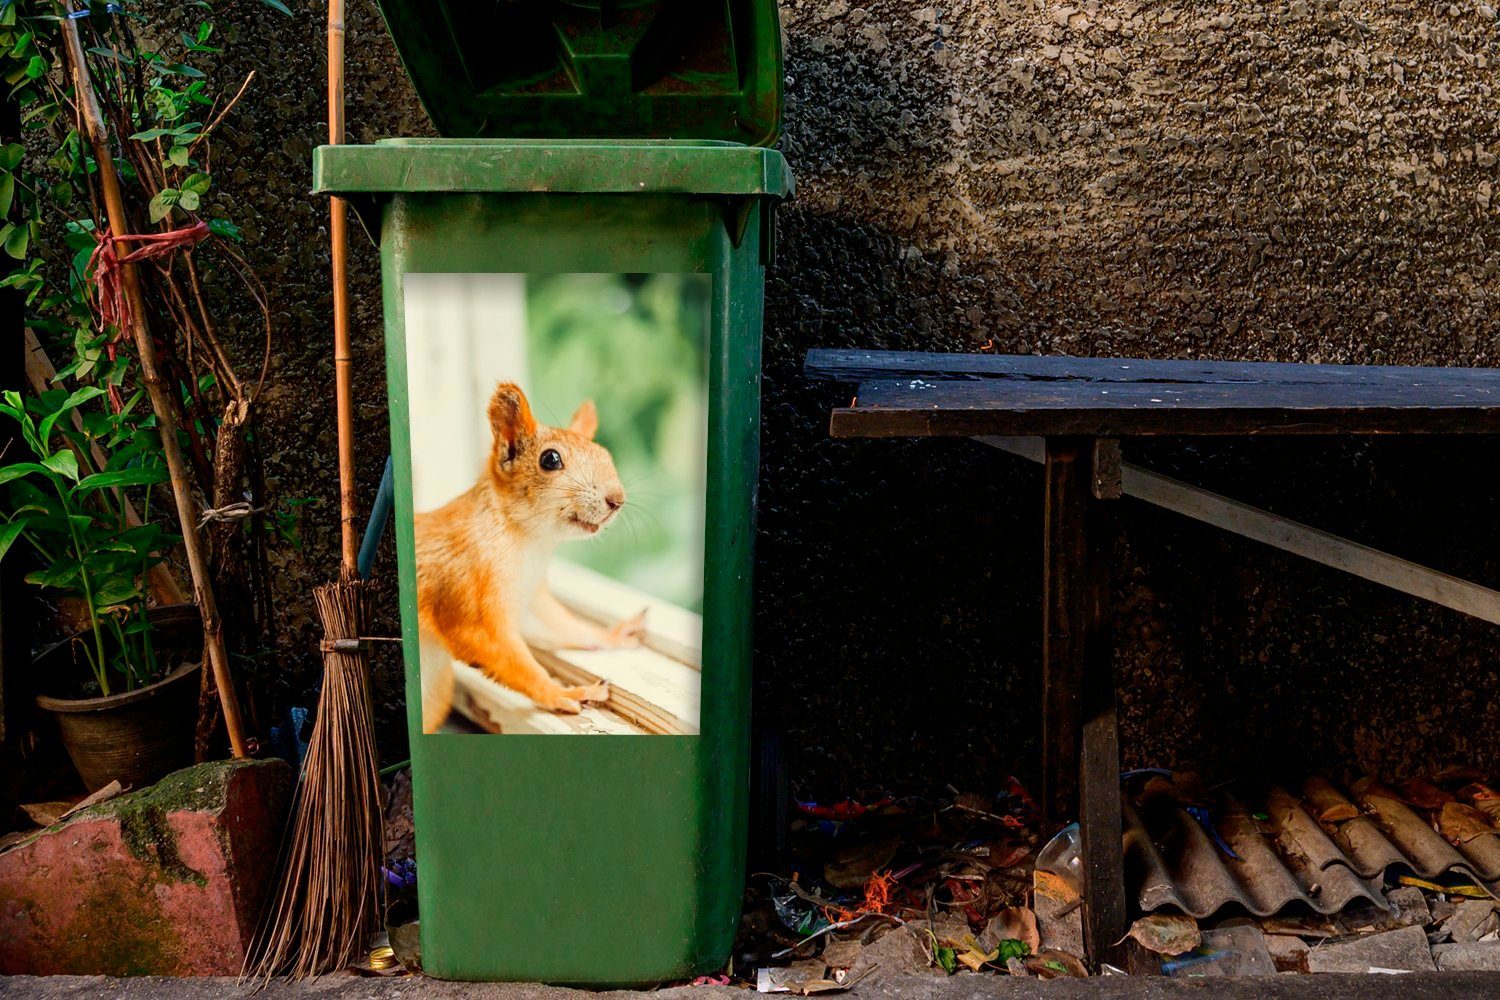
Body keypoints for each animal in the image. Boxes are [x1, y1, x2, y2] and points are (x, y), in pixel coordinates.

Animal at [417, 379, 645, 731]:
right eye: (550, 460)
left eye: (605, 454)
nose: (617, 500)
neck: (530, 542)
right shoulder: (466, 596)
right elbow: (501, 653)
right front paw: (565, 693)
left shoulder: (529, 599)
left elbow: (562, 627)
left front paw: (610, 635)